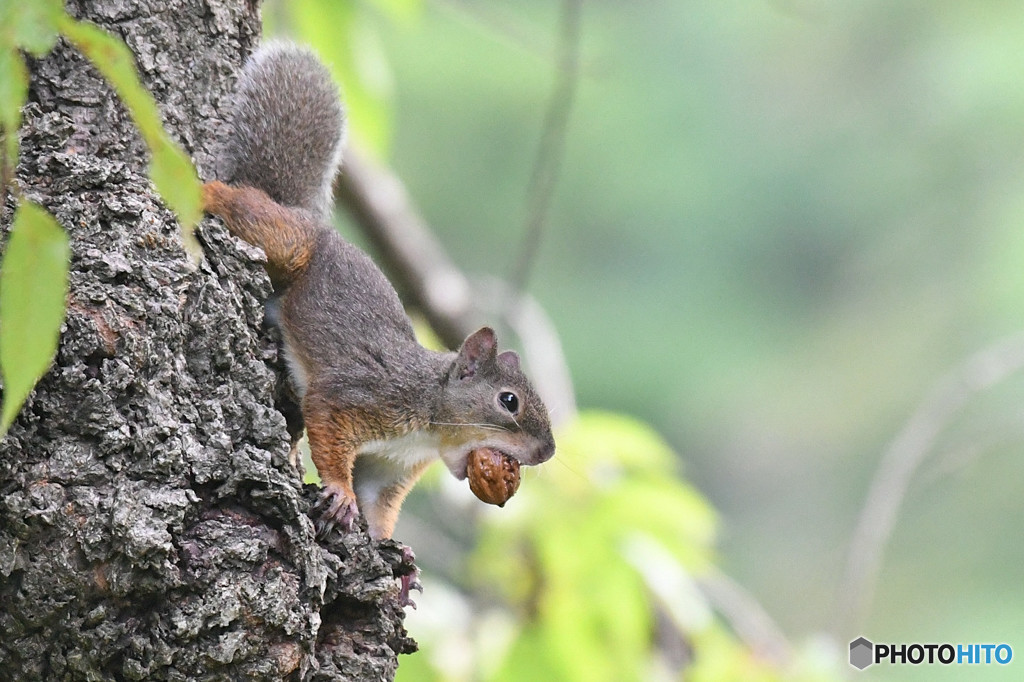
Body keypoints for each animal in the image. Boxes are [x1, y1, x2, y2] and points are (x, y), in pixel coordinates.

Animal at [202, 43, 557, 540]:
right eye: (509, 401)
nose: (548, 453)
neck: (429, 425)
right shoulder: (357, 396)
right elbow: (329, 432)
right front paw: (339, 493)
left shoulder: (391, 465)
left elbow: (379, 505)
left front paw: (392, 549)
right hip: (287, 244)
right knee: (238, 203)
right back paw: (200, 189)